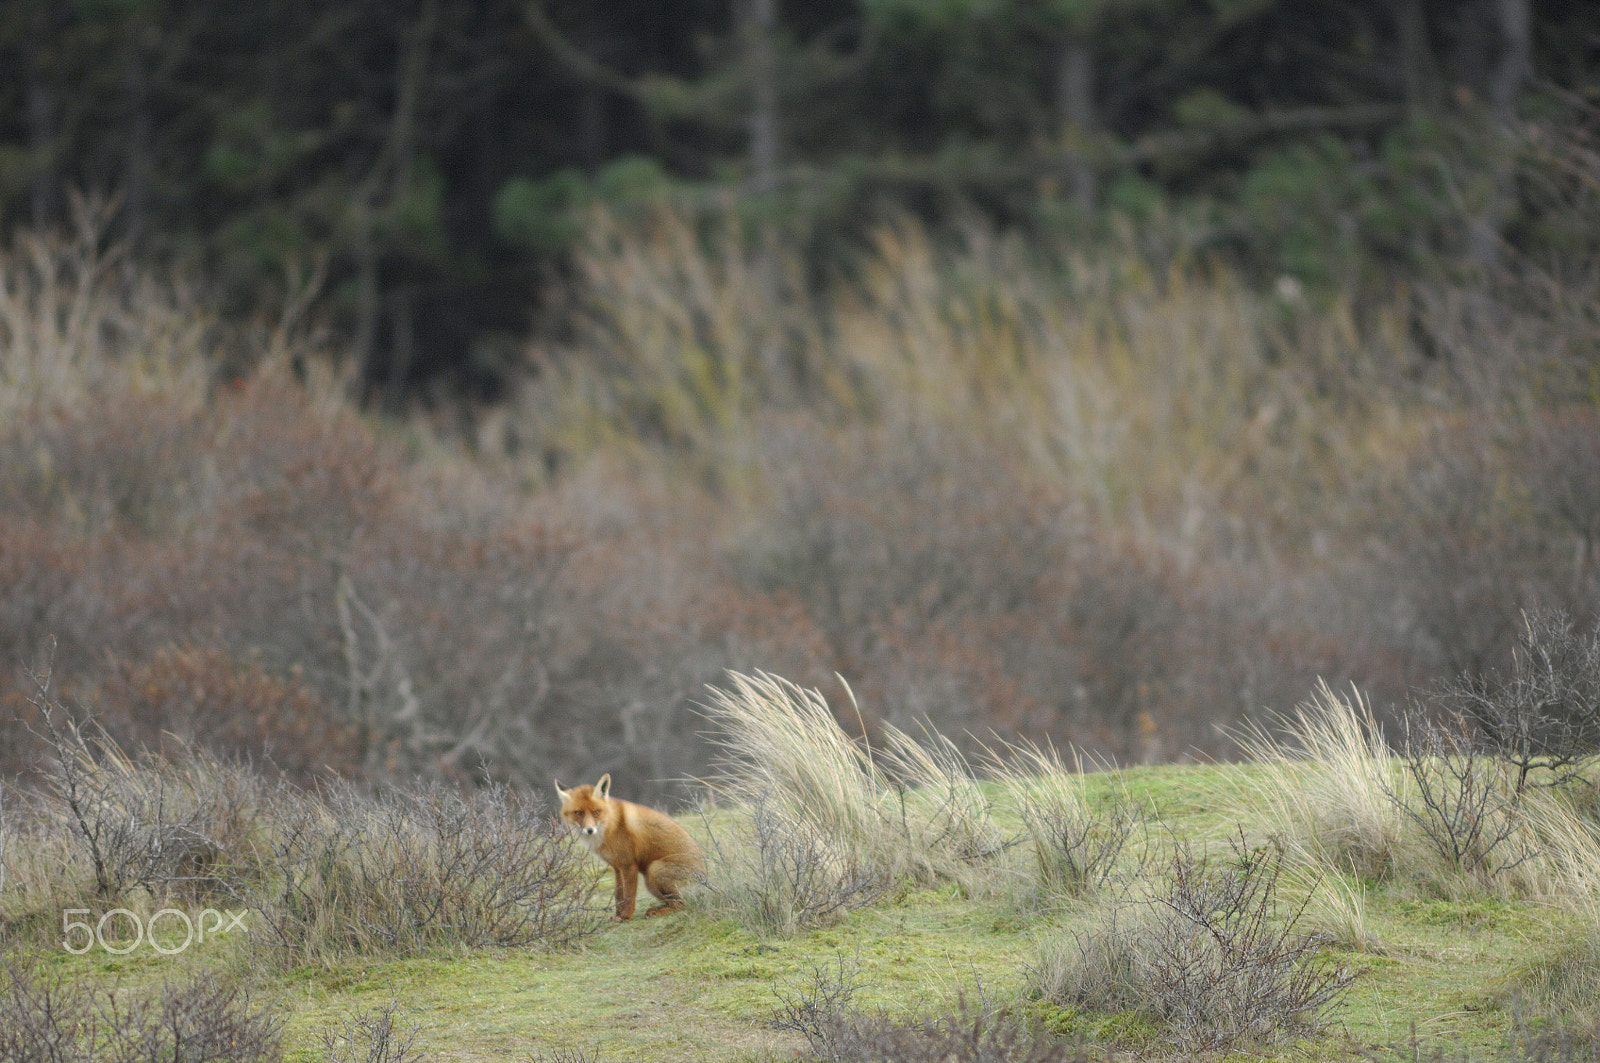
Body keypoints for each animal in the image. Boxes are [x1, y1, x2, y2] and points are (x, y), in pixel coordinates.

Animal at [556, 778, 707, 915]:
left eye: (596, 812)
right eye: (578, 813)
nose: (589, 830)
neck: (611, 825)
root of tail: (706, 880)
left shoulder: (628, 865)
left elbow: (628, 896)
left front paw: (625, 917)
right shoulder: (617, 867)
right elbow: (619, 895)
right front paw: (617, 916)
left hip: (654, 869)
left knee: (683, 904)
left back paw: (660, 911)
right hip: (649, 882)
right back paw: (656, 909)